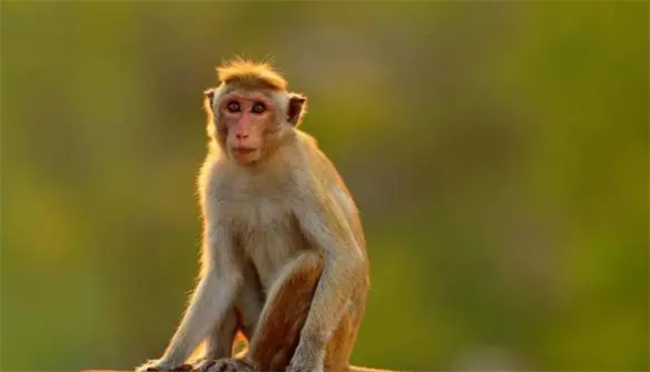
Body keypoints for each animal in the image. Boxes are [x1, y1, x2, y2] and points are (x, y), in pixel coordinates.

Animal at [136, 59, 370, 372]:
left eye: (258, 109)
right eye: (234, 107)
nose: (242, 133)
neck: (258, 167)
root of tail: (343, 360)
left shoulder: (303, 177)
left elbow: (344, 256)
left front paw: (308, 356)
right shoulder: (213, 180)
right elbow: (223, 273)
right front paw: (168, 360)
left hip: (330, 343)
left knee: (309, 263)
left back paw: (250, 361)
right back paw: (213, 356)